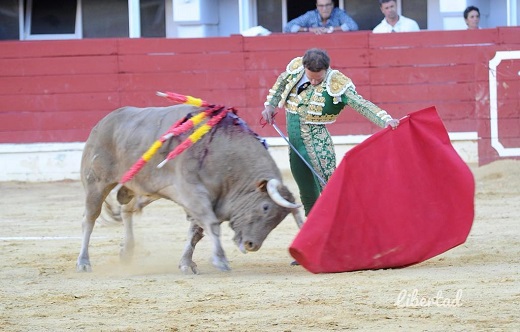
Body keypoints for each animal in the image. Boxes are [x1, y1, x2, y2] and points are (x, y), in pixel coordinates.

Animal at [77, 105, 304, 274]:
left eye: (279, 219)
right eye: (265, 207)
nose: (251, 245)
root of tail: (102, 123)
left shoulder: (207, 199)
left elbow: (195, 233)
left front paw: (186, 263)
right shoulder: (194, 194)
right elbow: (210, 224)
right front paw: (220, 260)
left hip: (140, 187)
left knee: (127, 211)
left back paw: (127, 252)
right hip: (96, 183)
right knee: (89, 219)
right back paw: (83, 262)